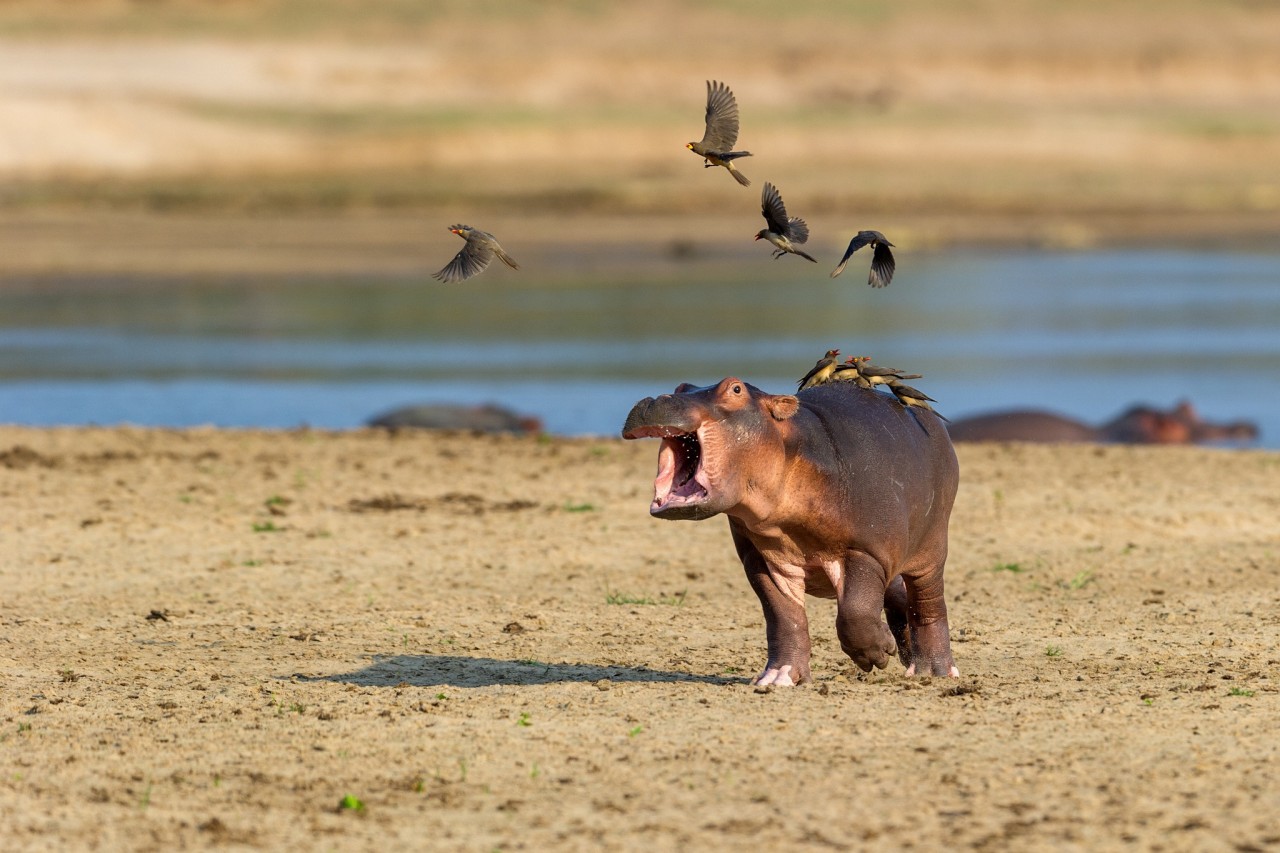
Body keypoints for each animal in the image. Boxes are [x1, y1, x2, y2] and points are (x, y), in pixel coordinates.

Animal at [619, 379, 962, 686]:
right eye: (681, 388)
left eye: (736, 388)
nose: (658, 399)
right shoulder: (761, 560)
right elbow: (784, 617)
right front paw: (778, 677)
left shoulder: (866, 550)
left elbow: (855, 611)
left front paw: (878, 653)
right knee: (899, 595)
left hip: (931, 548)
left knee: (928, 604)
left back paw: (935, 671)